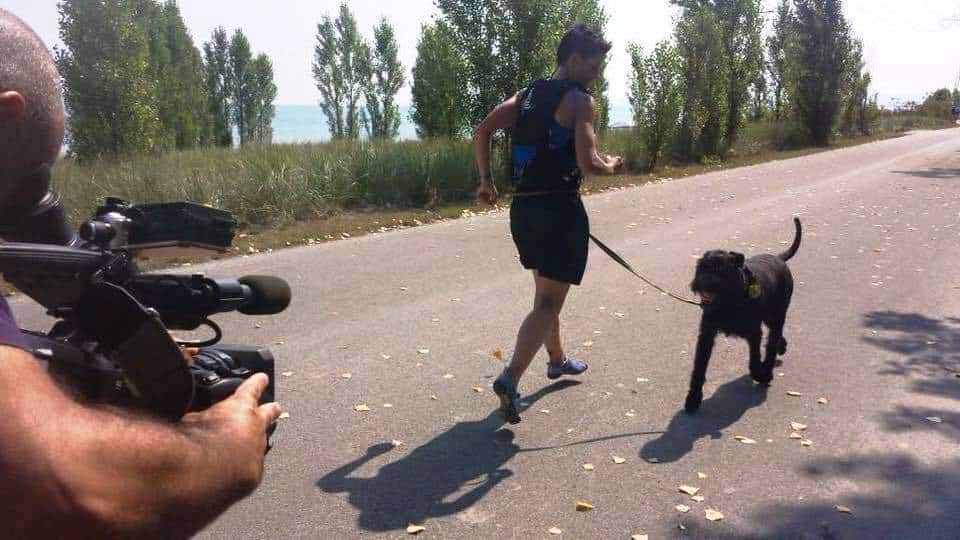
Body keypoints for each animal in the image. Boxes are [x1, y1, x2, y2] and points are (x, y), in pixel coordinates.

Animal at [684, 217, 804, 412]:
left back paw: (767, 372)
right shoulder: (706, 335)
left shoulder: (754, 333)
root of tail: (778, 258)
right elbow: (699, 367)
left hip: (777, 315)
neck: (730, 301)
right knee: (776, 337)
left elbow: (755, 358)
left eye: (721, 269)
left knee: (771, 344)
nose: (702, 282)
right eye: (701, 267)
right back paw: (781, 347)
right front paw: (693, 398)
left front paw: (759, 374)